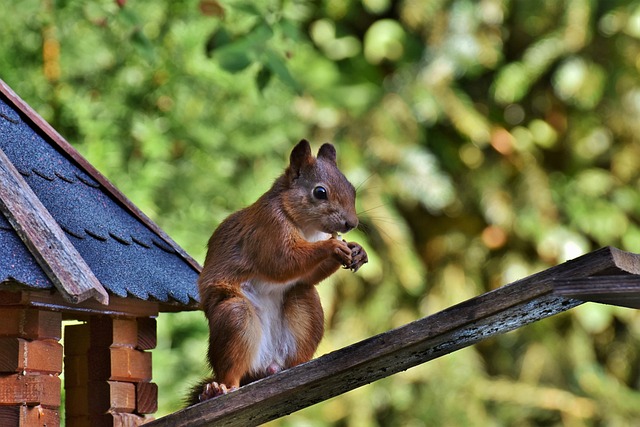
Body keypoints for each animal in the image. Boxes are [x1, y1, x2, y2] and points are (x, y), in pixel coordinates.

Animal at [188, 140, 368, 404]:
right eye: (320, 192)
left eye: (352, 189)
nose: (351, 224)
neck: (307, 227)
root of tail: (266, 367)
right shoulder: (268, 228)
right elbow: (282, 262)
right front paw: (333, 247)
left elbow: (306, 275)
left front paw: (358, 250)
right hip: (235, 318)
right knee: (233, 368)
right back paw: (218, 389)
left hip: (304, 306)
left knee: (302, 295)